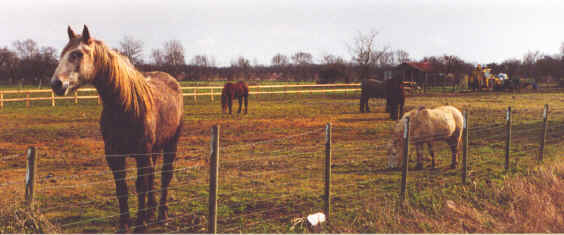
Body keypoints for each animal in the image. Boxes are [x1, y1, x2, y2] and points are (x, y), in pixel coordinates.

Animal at [49, 26, 183, 233]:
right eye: (62, 53)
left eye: (77, 54)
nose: (56, 84)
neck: (125, 106)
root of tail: (173, 81)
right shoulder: (114, 155)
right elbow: (122, 188)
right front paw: (124, 224)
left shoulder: (142, 154)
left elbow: (140, 185)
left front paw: (140, 224)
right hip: (154, 150)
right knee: (153, 176)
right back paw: (151, 212)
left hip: (171, 144)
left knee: (165, 176)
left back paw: (162, 215)